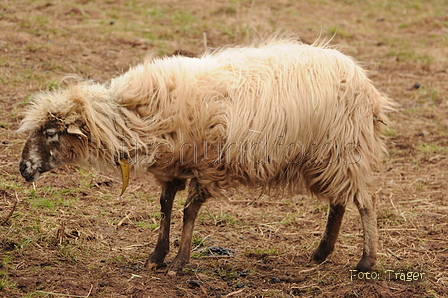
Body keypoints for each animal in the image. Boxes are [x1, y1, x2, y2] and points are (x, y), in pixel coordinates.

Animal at [19, 37, 394, 274]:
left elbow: (189, 212)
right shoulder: (173, 166)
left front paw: (179, 264)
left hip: (346, 149)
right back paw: (321, 253)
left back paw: (366, 261)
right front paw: (156, 256)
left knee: (366, 201)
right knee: (339, 201)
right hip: (328, 157)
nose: (23, 168)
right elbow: (165, 207)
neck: (131, 117)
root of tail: (366, 83)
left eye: (50, 133)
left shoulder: (206, 165)